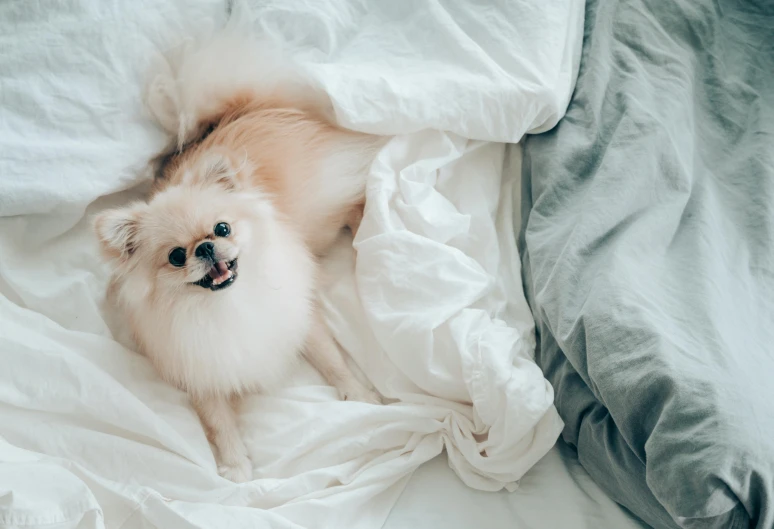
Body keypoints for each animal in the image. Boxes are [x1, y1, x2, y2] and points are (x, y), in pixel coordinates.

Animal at [94, 29, 384, 482]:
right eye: (176, 256)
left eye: (222, 229)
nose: (205, 247)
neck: (227, 305)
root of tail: (247, 110)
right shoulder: (197, 367)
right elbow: (217, 419)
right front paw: (235, 466)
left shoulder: (298, 317)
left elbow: (332, 359)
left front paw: (360, 395)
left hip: (322, 211)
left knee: (353, 203)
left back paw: (362, 231)